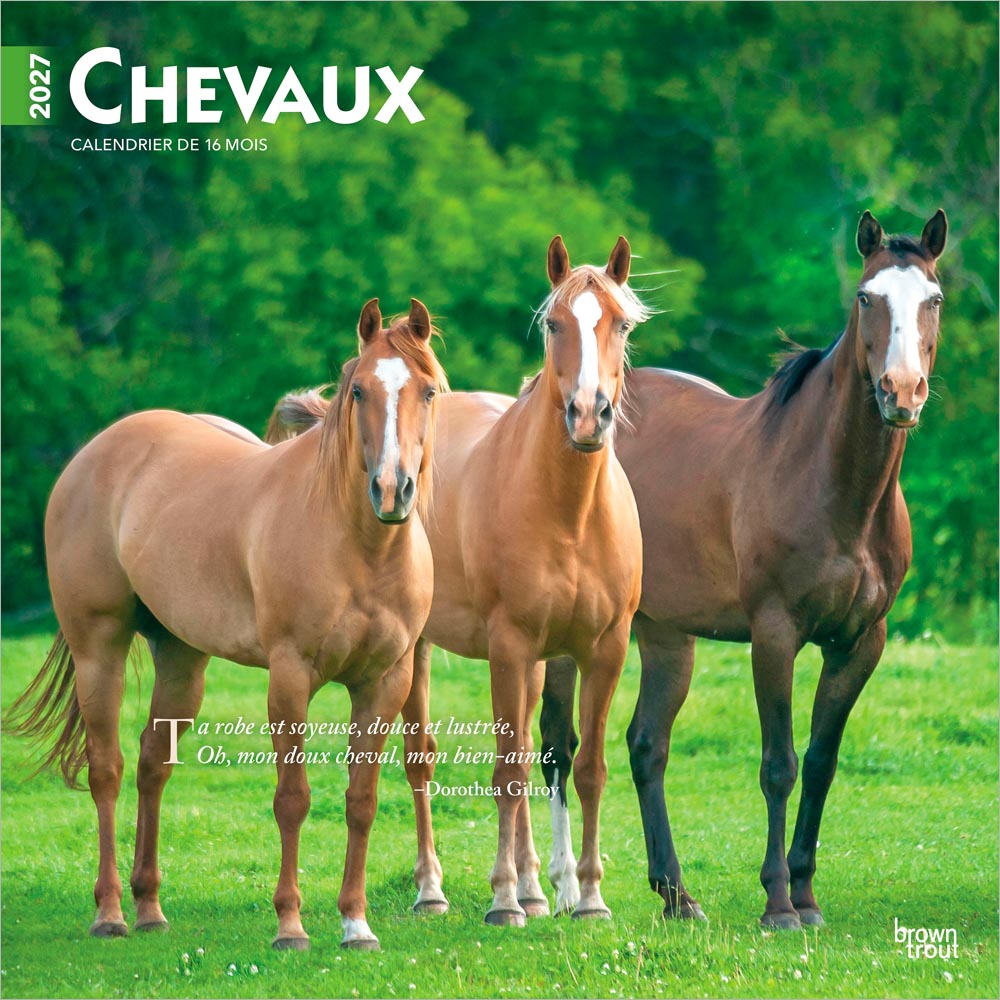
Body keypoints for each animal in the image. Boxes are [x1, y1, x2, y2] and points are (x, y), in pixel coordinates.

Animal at [5, 298, 448, 952]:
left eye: (429, 391)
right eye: (359, 391)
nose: (391, 489)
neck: (358, 547)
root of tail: (95, 454)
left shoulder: (384, 682)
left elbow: (361, 800)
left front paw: (355, 923)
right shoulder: (290, 677)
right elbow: (293, 799)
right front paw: (290, 925)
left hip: (181, 660)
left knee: (152, 765)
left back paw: (150, 907)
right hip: (99, 651)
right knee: (106, 770)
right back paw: (110, 913)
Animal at [267, 236, 649, 925]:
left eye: (622, 324)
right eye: (554, 324)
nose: (587, 416)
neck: (570, 512)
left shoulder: (603, 649)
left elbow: (587, 769)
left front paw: (588, 897)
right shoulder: (509, 645)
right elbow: (506, 775)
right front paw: (502, 899)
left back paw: (537, 886)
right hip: (419, 652)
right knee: (423, 762)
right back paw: (434, 889)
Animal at [538, 209, 949, 929]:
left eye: (934, 298)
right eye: (866, 297)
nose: (901, 392)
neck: (834, 485)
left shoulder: (860, 643)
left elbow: (821, 762)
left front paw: (807, 893)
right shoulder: (774, 634)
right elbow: (778, 765)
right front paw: (779, 904)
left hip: (666, 635)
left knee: (646, 746)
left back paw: (677, 895)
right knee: (560, 747)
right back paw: (564, 891)